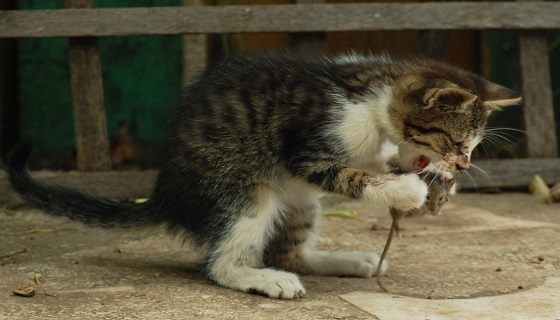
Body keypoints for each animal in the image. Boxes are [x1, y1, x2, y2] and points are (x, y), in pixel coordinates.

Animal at [5, 51, 520, 298]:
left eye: (473, 146)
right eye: (455, 141)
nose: (463, 164)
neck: (373, 101)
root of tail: (165, 192)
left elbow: (368, 163)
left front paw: (417, 176)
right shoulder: (304, 149)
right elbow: (349, 175)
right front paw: (405, 190)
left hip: (300, 201)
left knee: (292, 251)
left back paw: (348, 261)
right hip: (243, 185)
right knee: (220, 261)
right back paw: (262, 279)